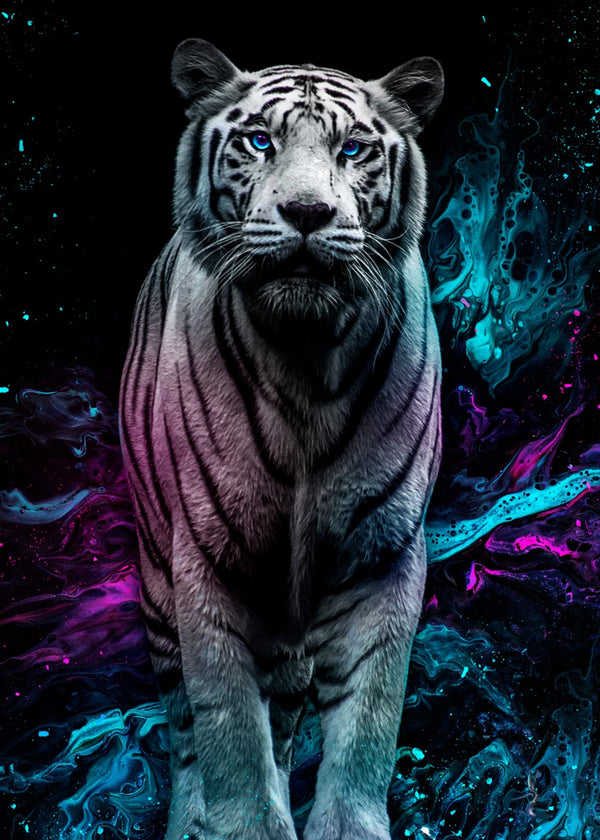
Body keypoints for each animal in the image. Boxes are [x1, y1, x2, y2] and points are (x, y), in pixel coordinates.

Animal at [119, 38, 444, 840]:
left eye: (353, 147)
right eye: (260, 140)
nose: (305, 212)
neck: (307, 360)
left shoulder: (383, 555)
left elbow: (368, 722)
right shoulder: (208, 562)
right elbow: (230, 731)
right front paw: (242, 825)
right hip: (156, 580)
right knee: (186, 732)